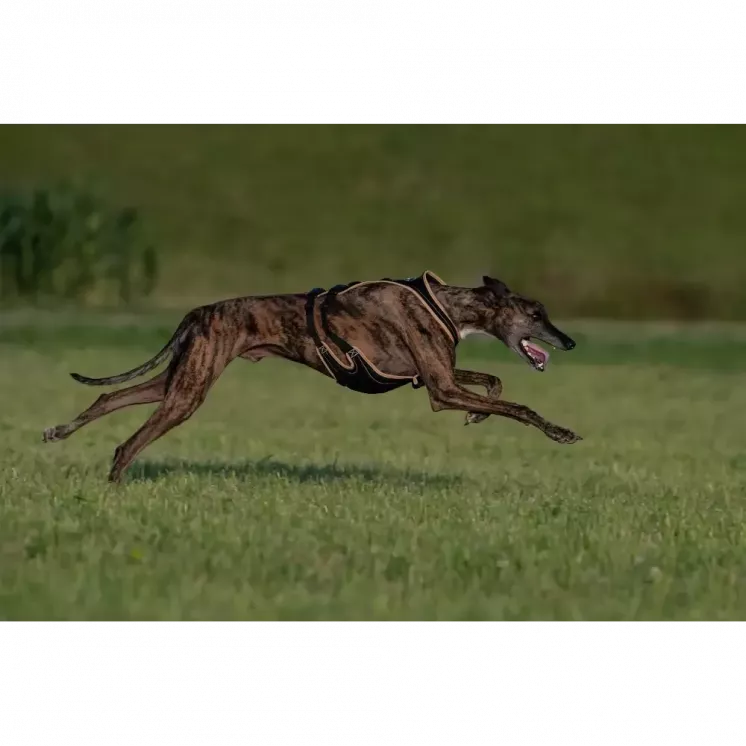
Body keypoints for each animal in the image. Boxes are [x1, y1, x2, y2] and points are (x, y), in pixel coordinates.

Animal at [42, 270, 580, 480]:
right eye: (536, 314)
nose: (570, 342)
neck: (450, 304)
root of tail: (199, 311)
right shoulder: (441, 390)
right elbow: (519, 406)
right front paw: (561, 432)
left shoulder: (436, 377)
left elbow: (495, 383)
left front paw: (479, 418)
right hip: (188, 392)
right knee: (128, 442)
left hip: (179, 378)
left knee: (108, 399)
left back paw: (59, 431)